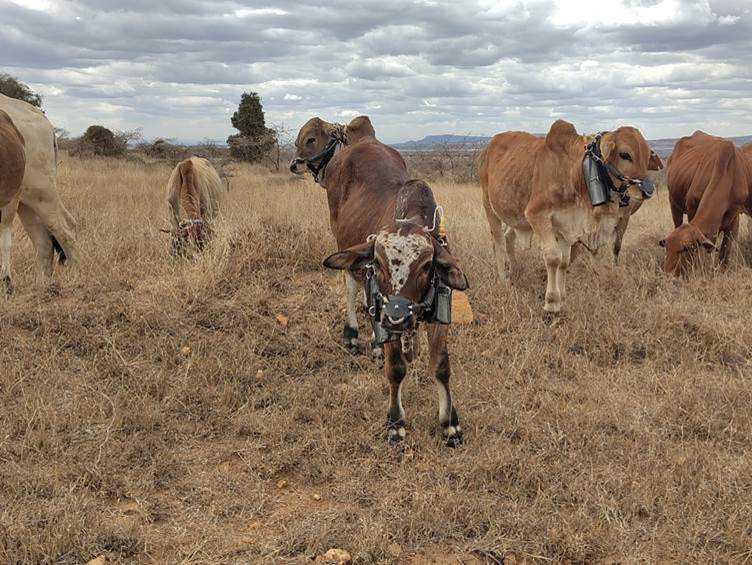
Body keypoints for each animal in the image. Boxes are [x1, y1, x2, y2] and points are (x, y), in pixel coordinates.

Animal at [0, 94, 78, 293]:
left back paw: (78, 278)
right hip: (26, 202)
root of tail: (43, 120)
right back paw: (43, 285)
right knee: (43, 241)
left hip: (41, 194)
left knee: (66, 228)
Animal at [323, 179, 469, 446]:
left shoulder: (440, 319)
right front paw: (396, 423)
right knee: (351, 288)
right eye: (378, 262)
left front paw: (450, 423)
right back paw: (351, 335)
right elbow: (397, 369)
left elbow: (441, 367)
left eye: (426, 265)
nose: (396, 318)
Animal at [479, 119, 656, 313]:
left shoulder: (566, 225)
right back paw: (504, 280)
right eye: (625, 154)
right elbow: (553, 257)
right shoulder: (537, 216)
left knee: (508, 238)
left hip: (516, 218)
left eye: (647, 156)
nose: (648, 190)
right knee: (498, 243)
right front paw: (551, 302)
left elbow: (564, 261)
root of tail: (488, 147)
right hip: (490, 207)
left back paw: (515, 272)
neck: (573, 172)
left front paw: (561, 298)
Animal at [660, 131, 752, 276]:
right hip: (673, 204)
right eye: (667, 247)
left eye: (686, 249)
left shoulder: (733, 221)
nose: (668, 274)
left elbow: (725, 251)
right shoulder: (692, 208)